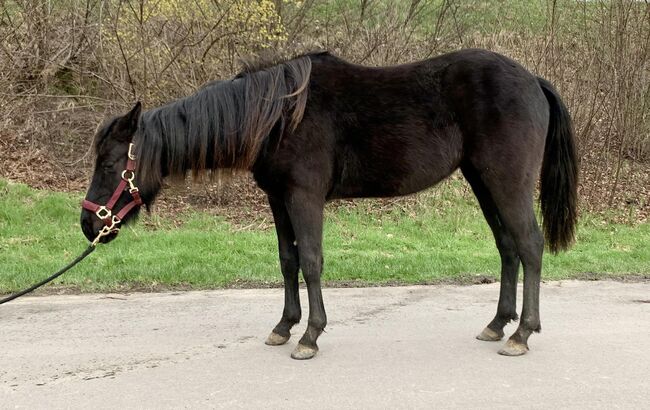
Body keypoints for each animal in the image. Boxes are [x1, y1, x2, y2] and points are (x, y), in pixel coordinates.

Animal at [82, 49, 576, 360]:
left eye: (109, 163)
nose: (89, 226)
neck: (278, 116)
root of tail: (533, 81)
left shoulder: (304, 197)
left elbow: (312, 262)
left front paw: (310, 336)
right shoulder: (278, 200)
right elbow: (287, 261)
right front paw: (284, 327)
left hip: (506, 182)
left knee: (529, 246)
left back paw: (522, 333)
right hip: (482, 182)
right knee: (508, 248)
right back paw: (498, 324)